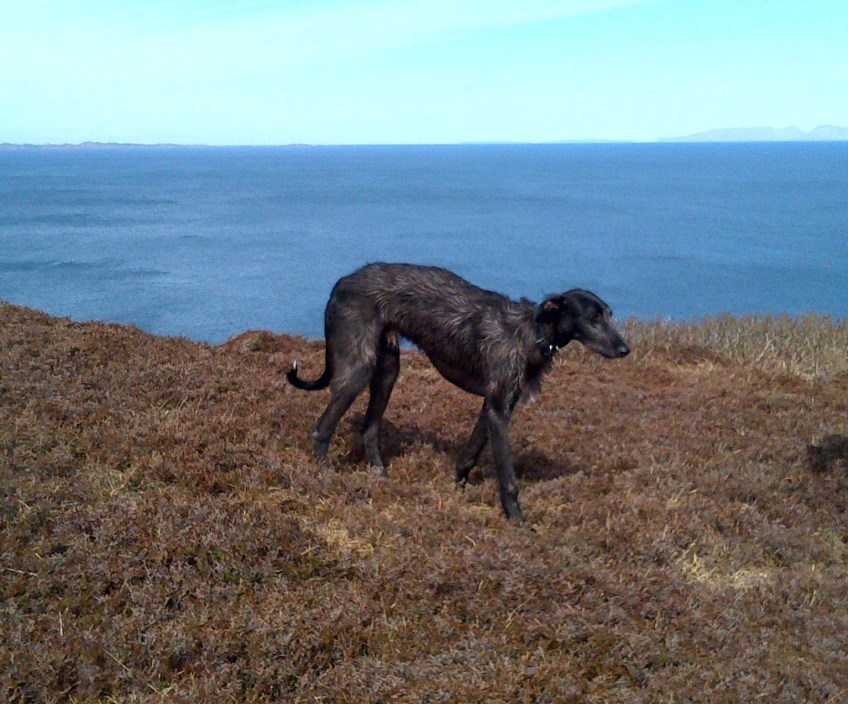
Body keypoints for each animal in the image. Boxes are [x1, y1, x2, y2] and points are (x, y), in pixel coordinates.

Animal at [287, 262, 629, 522]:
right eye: (592, 318)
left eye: (609, 314)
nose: (625, 350)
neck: (530, 333)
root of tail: (341, 283)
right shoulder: (498, 409)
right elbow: (508, 477)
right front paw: (517, 520)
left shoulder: (495, 405)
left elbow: (469, 456)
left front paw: (457, 493)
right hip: (358, 368)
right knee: (322, 428)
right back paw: (326, 476)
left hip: (387, 369)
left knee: (369, 428)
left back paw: (380, 474)